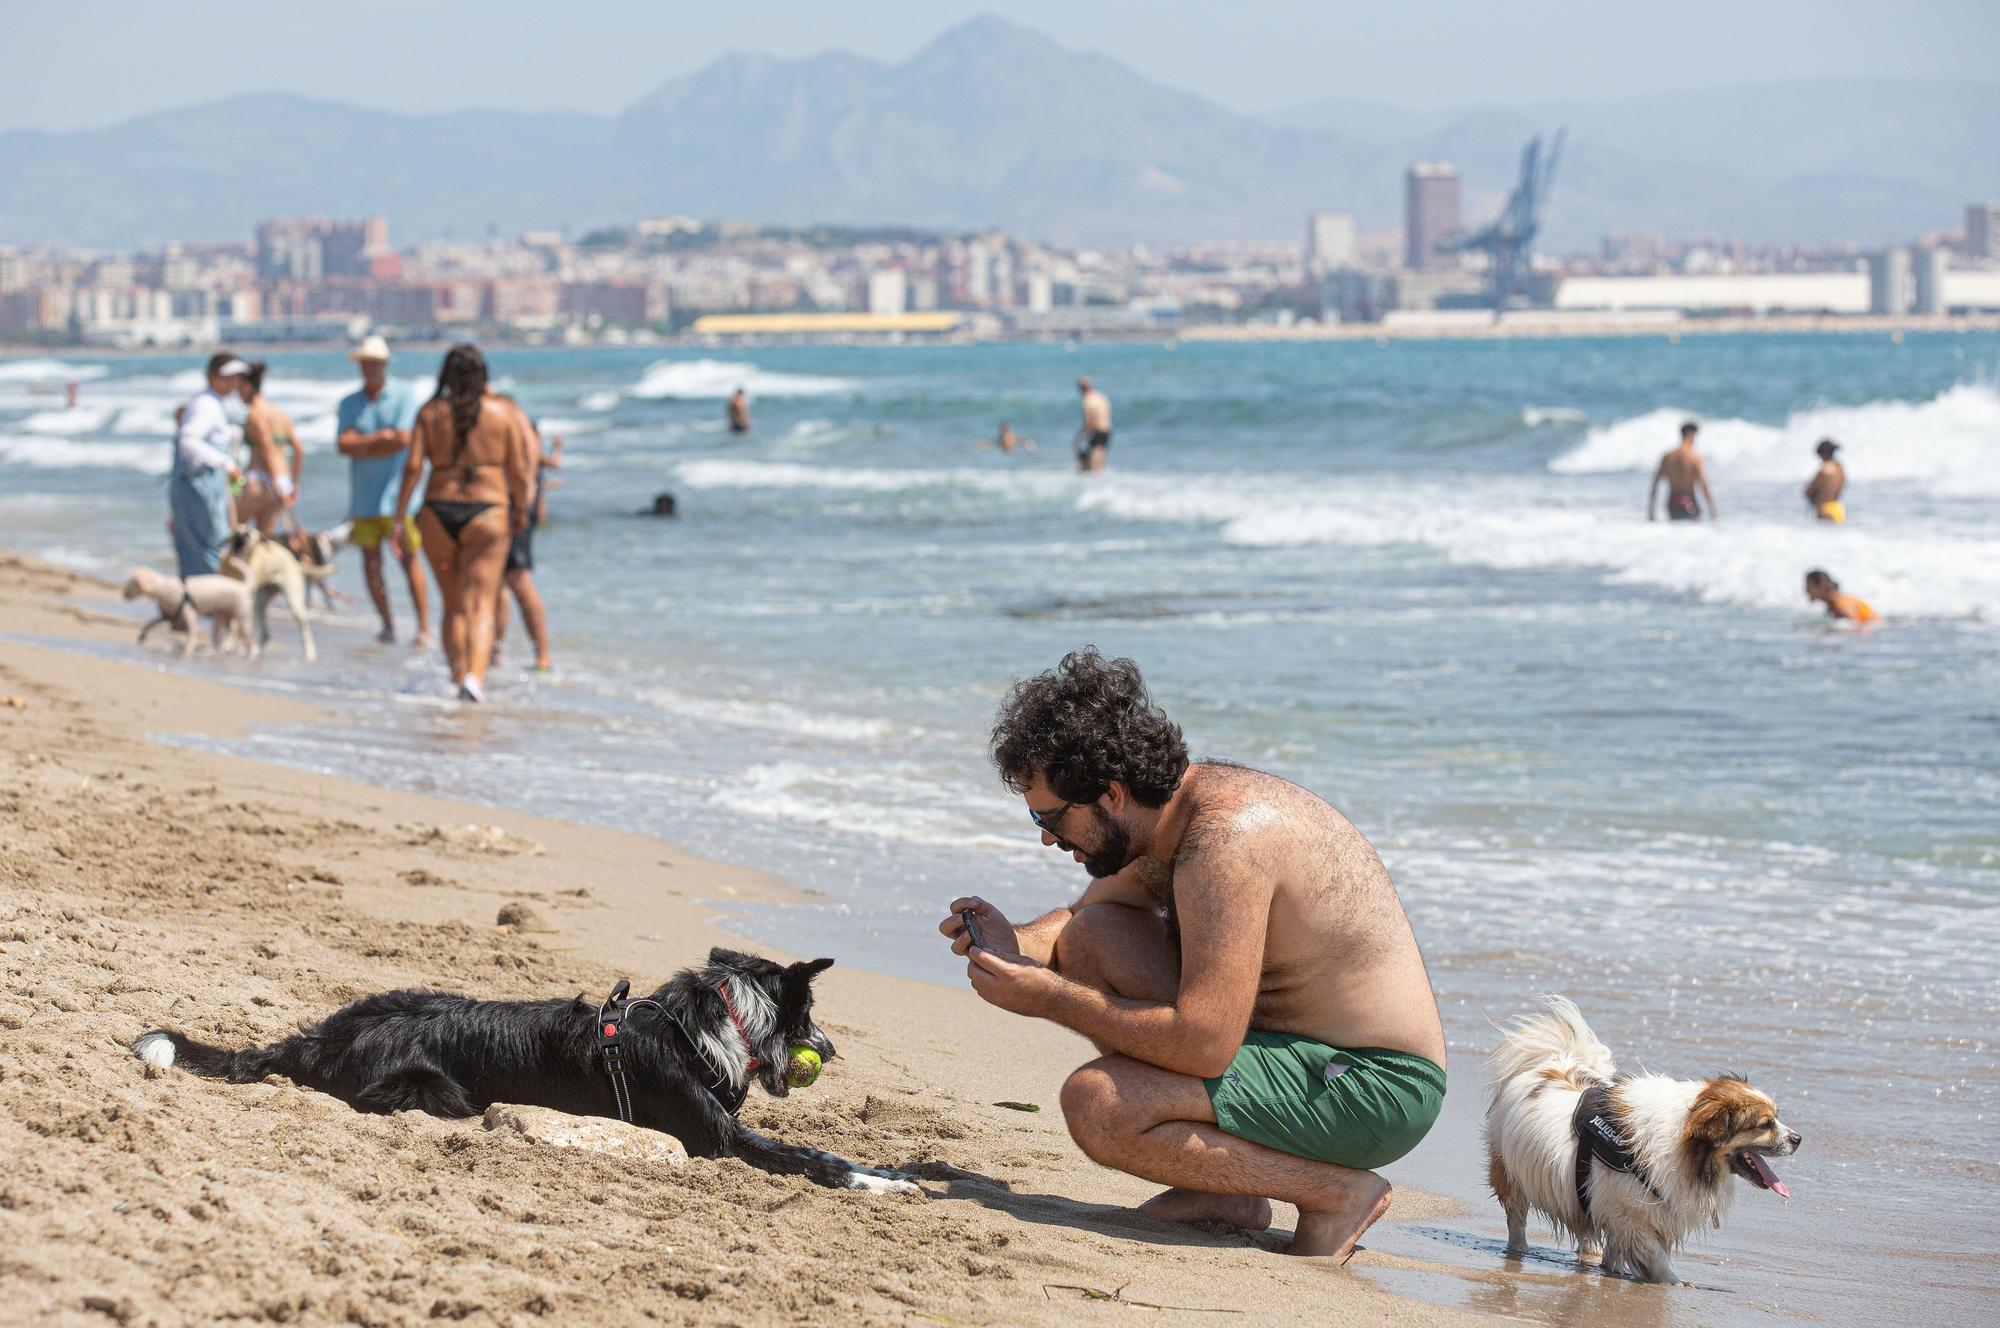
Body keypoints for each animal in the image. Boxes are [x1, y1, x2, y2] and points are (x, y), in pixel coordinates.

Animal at [137, 948, 916, 1200]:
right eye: (810, 1017)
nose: (832, 1052)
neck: (714, 1021)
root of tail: (322, 1037)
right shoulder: (719, 1140)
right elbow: (814, 1160)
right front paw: (884, 1185)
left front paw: (891, 1173)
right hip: (438, 1091)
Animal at [1488, 1000, 1800, 1280]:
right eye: (1765, 1124)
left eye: (1776, 1117)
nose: (1798, 1138)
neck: (1685, 1142)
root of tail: (1552, 1063)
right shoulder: (1632, 1216)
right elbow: (1657, 1260)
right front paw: (1677, 1282)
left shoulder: (1626, 1211)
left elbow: (1619, 1250)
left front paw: (1615, 1269)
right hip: (1510, 1171)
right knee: (1517, 1217)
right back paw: (1518, 1251)